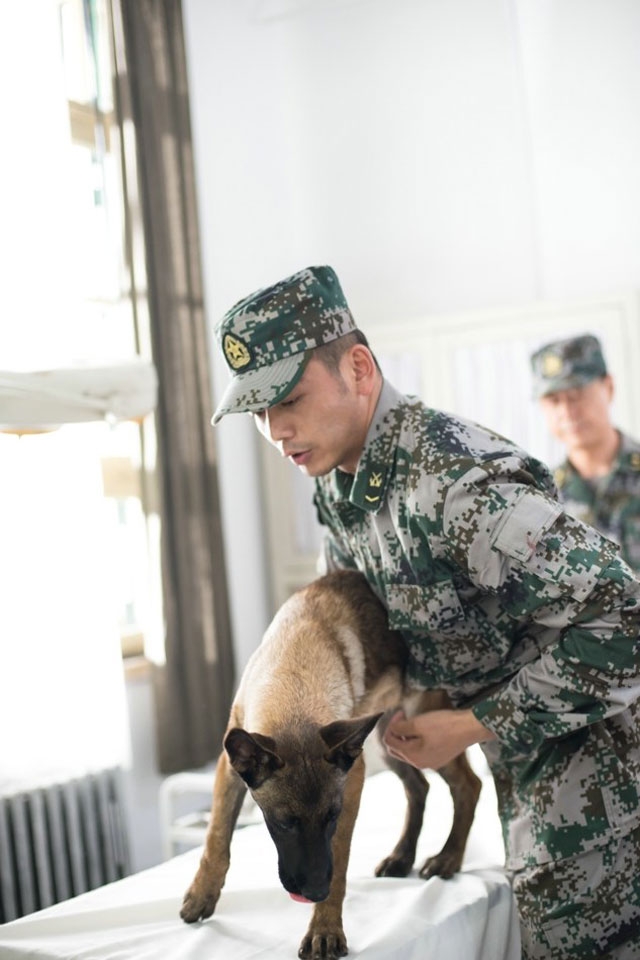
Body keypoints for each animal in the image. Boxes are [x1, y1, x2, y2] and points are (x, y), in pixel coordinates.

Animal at [180, 568, 480, 960]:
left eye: (331, 817)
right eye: (284, 823)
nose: (314, 893)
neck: (293, 681)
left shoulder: (351, 787)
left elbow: (338, 864)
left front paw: (325, 928)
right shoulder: (229, 768)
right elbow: (216, 837)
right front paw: (203, 893)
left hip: (422, 734)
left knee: (468, 785)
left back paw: (448, 857)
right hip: (387, 742)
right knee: (420, 786)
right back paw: (402, 856)